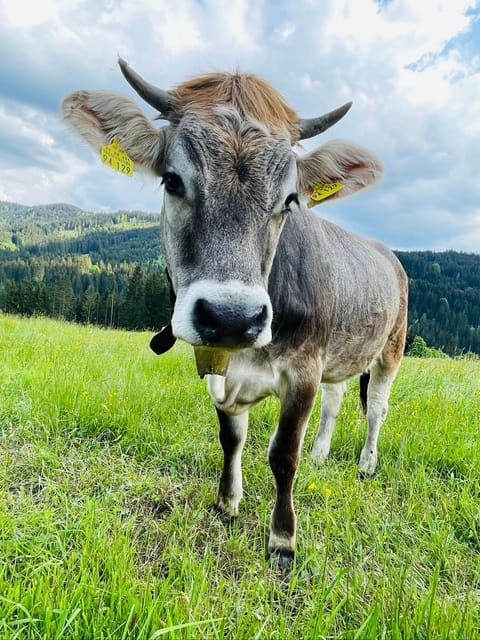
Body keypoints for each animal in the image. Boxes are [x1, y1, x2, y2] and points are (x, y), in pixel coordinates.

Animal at [62, 60, 406, 568]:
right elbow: (232, 438)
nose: (231, 317)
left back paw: (365, 464)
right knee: (337, 398)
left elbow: (283, 455)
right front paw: (227, 503)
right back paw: (323, 453)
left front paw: (282, 539)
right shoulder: (221, 369)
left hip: (391, 348)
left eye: (290, 200)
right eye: (172, 180)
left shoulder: (305, 369)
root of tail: (388, 252)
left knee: (377, 408)